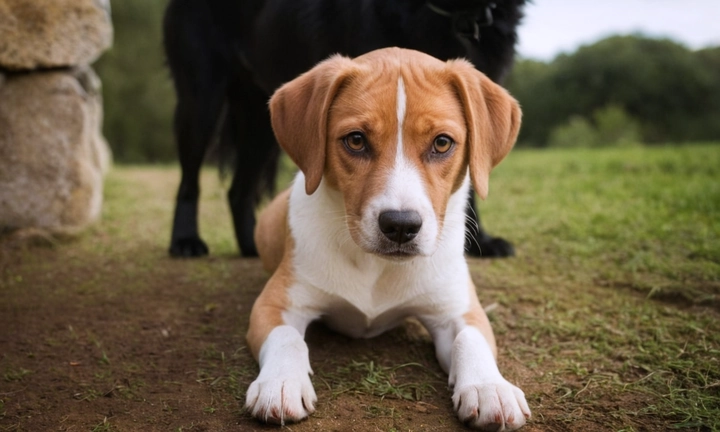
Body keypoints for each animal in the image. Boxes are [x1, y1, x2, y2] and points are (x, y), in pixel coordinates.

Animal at [162, 0, 524, 258]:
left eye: (443, 143)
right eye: (356, 141)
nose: (401, 228)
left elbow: (470, 181)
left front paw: (478, 243)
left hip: (261, 122)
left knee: (239, 190)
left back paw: (255, 246)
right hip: (201, 97)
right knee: (189, 181)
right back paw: (185, 241)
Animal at [245, 47, 532, 428]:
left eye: (442, 143)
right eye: (355, 140)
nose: (400, 225)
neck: (376, 268)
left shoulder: (458, 308)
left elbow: (470, 339)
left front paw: (490, 388)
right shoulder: (275, 304)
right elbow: (287, 336)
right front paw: (279, 383)